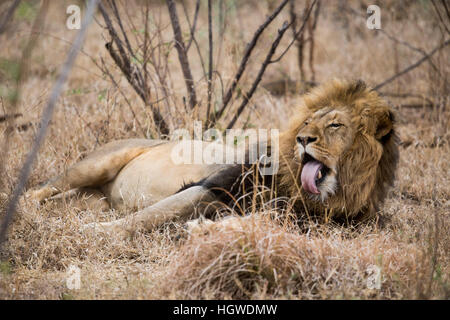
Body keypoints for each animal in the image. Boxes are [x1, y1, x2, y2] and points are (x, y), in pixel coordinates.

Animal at [25, 79, 398, 236]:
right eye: (307, 123)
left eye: (335, 124)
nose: (303, 139)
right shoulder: (209, 185)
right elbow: (145, 217)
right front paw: (92, 232)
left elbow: (266, 219)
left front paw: (200, 228)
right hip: (96, 163)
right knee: (39, 190)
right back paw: (27, 211)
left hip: (91, 197)